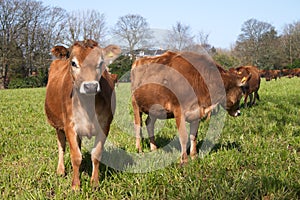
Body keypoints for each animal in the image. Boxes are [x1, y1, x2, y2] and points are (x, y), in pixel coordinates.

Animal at [44, 39, 120, 189]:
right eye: (73, 63)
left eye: (101, 62)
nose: (90, 86)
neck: (87, 105)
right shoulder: (69, 126)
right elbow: (75, 156)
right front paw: (75, 185)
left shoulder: (104, 126)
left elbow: (96, 154)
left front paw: (94, 183)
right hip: (58, 126)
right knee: (61, 146)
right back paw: (60, 170)